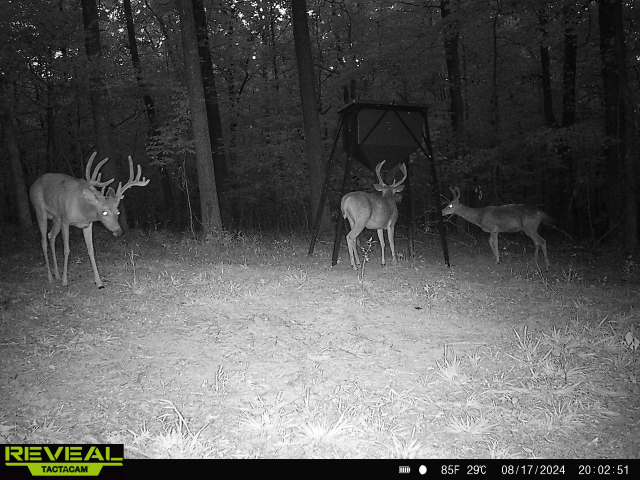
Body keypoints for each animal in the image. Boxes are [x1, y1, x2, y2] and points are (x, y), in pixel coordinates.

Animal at [29, 152, 150, 288]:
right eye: (104, 212)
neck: (82, 210)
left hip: (56, 218)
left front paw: (99, 282)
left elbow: (91, 250)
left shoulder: (87, 225)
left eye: (118, 212)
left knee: (51, 236)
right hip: (41, 211)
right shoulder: (65, 220)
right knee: (43, 241)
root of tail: (32, 185)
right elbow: (66, 250)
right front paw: (65, 281)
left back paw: (57, 275)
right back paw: (51, 277)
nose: (119, 231)